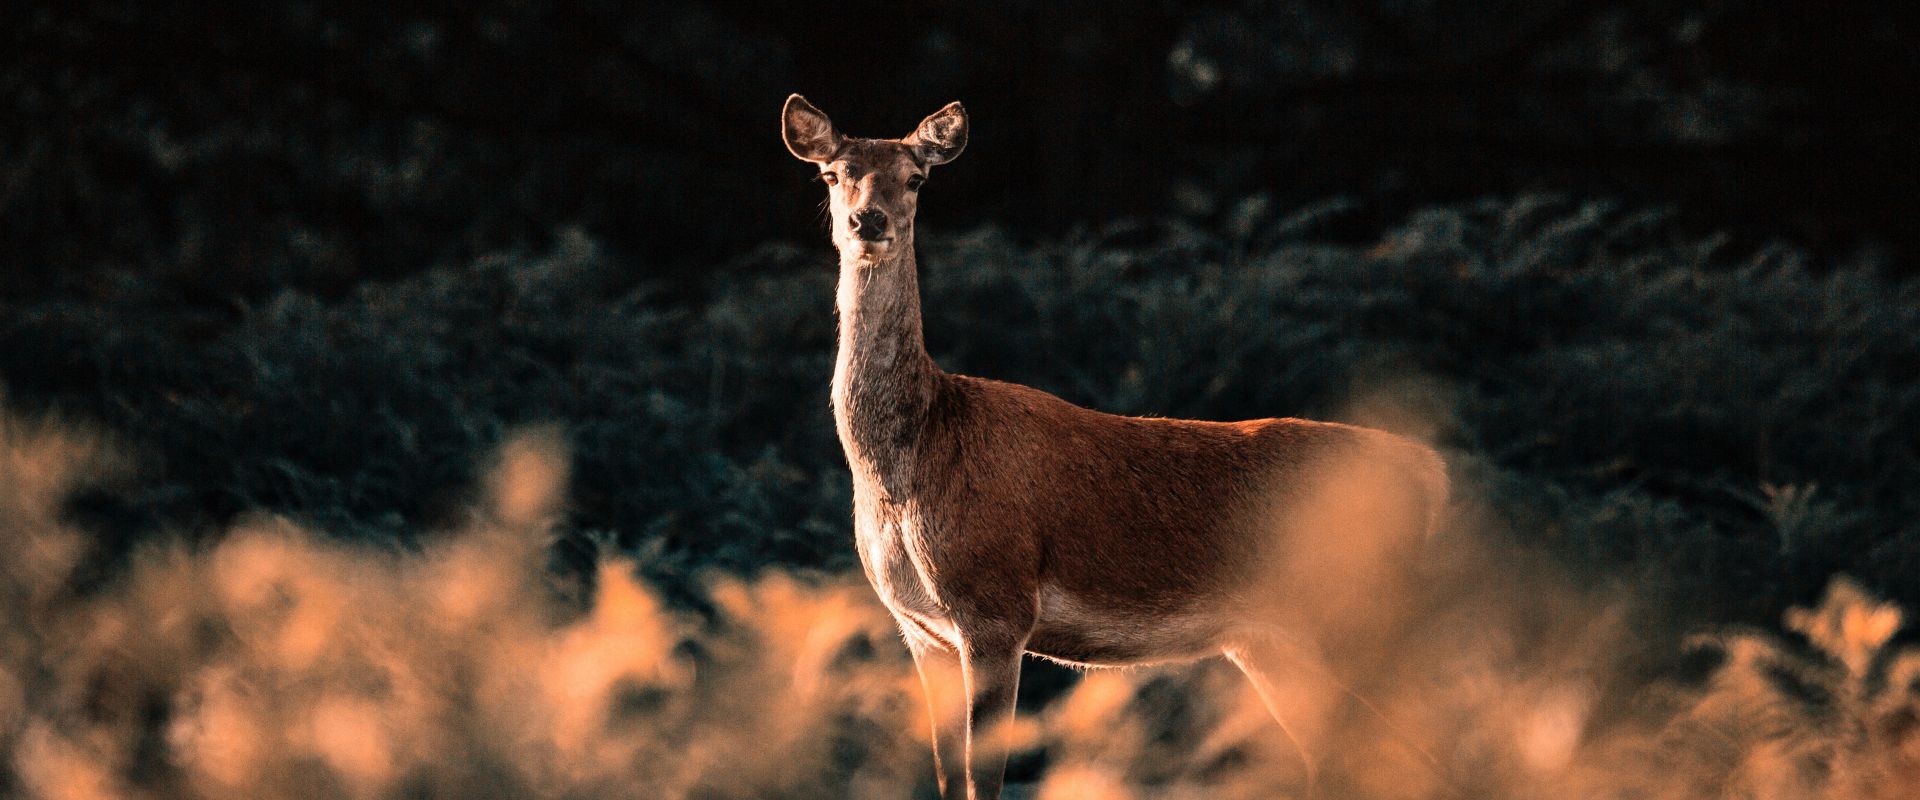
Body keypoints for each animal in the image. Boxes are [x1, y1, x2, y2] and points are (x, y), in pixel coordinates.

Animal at [775, 94, 1443, 798]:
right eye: (833, 174)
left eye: (916, 179)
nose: (868, 220)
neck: (911, 461)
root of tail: (1429, 470)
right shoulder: (920, 629)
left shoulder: (997, 606)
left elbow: (986, 778)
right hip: (1272, 641)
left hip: (1351, 616)